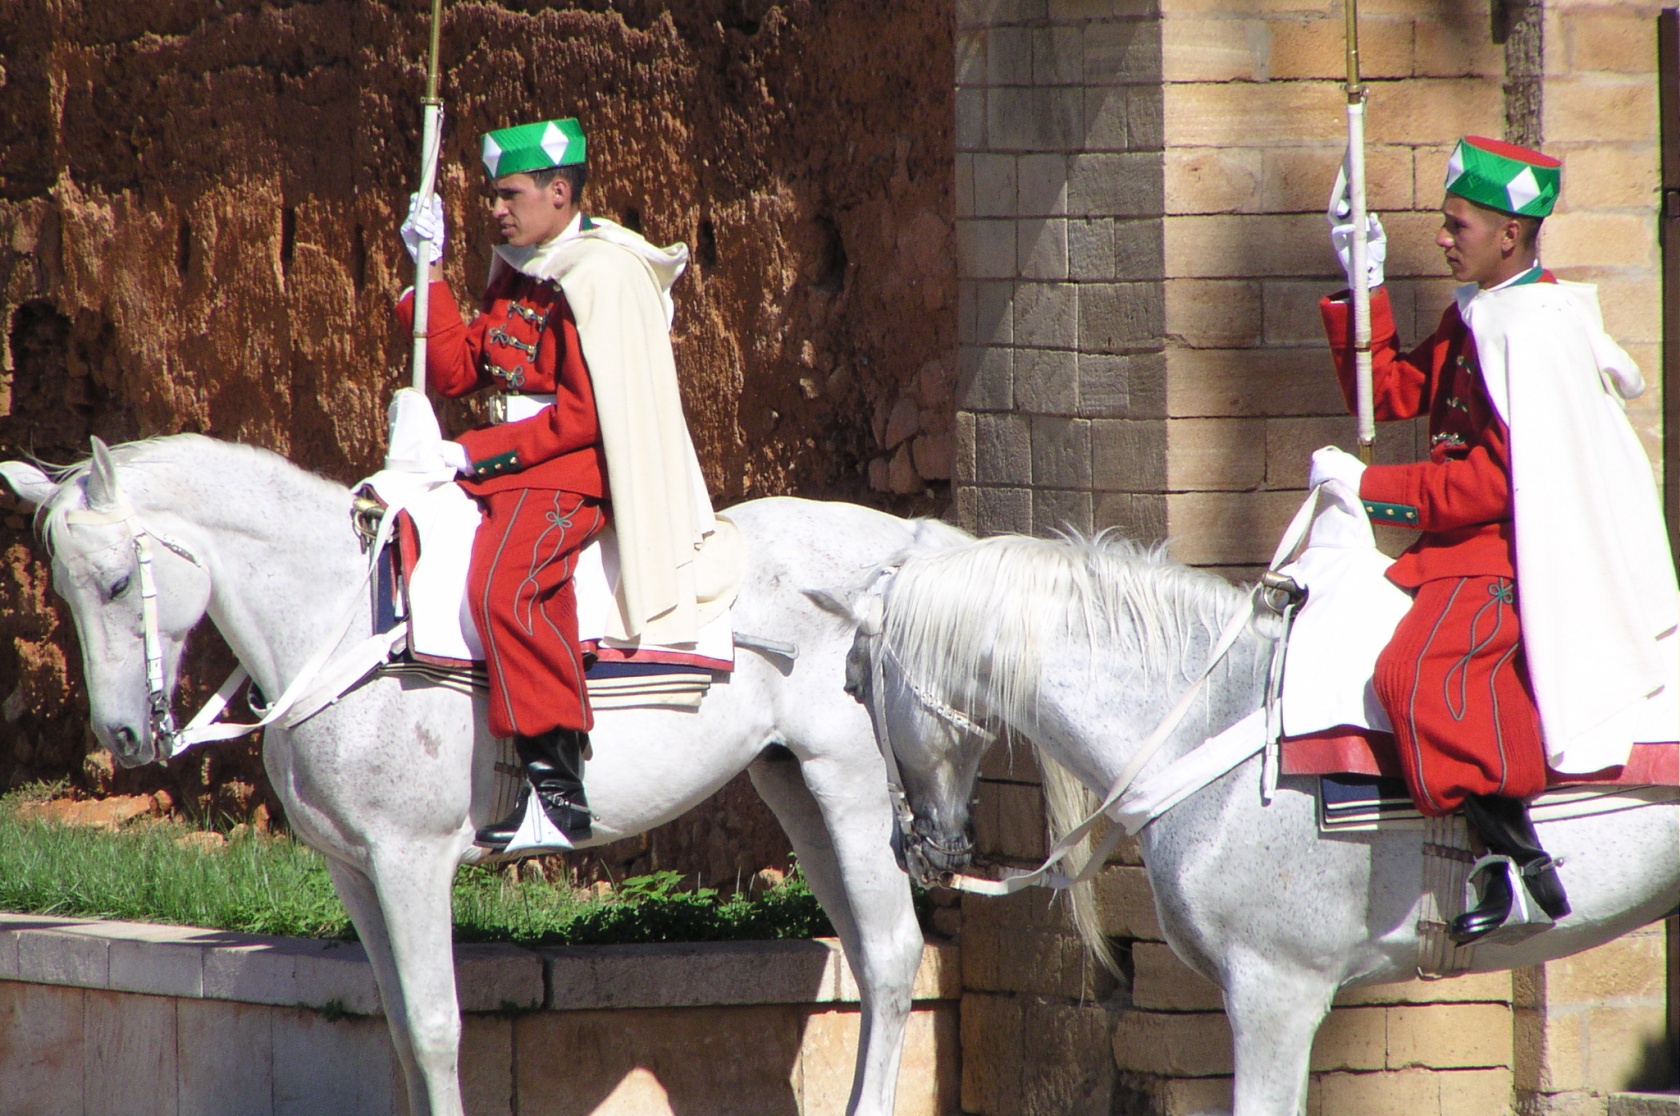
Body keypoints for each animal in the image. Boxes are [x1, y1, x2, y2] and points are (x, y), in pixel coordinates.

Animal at [0, 434, 967, 1116]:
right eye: (64, 589)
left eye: (117, 583)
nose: (123, 734)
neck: (348, 629)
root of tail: (901, 548)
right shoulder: (353, 870)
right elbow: (398, 1028)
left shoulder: (410, 861)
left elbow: (434, 1029)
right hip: (794, 784)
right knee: (864, 954)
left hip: (849, 783)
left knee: (890, 956)